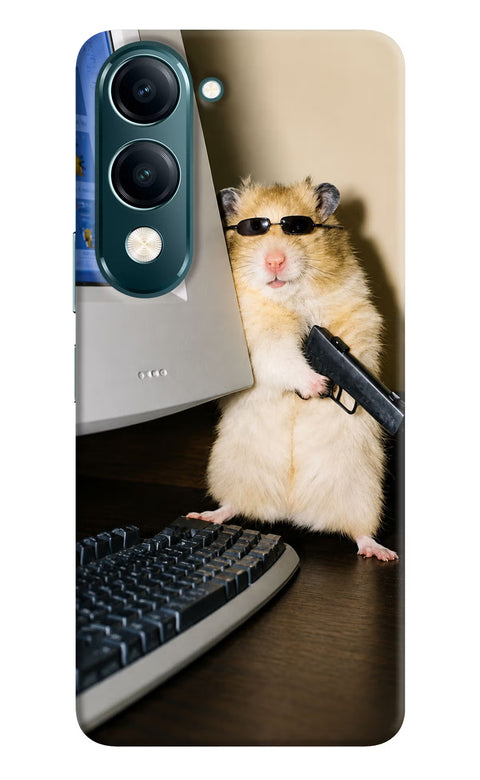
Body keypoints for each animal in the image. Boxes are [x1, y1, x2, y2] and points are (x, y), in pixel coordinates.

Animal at [188, 178, 398, 561]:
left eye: (298, 228)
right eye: (253, 228)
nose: (274, 260)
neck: (289, 298)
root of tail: (292, 510)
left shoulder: (357, 315)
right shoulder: (259, 340)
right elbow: (283, 358)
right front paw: (318, 385)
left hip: (363, 492)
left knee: (360, 531)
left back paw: (381, 552)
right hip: (231, 470)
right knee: (233, 505)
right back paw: (206, 515)